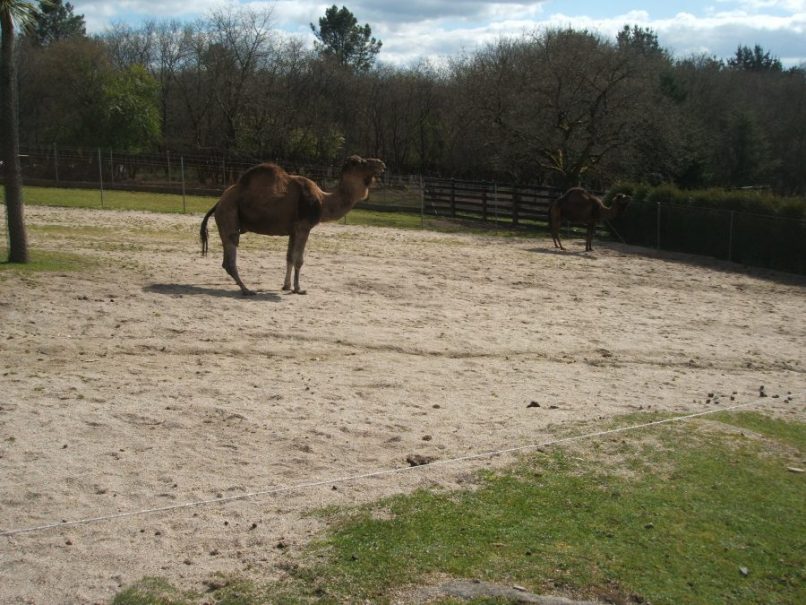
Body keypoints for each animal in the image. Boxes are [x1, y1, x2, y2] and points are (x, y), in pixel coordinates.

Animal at [200, 155, 386, 294]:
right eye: (361, 162)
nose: (382, 163)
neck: (323, 201)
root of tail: (218, 202)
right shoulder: (304, 227)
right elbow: (299, 259)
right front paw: (299, 288)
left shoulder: (293, 230)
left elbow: (289, 257)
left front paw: (286, 285)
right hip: (229, 214)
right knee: (230, 256)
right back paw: (247, 290)